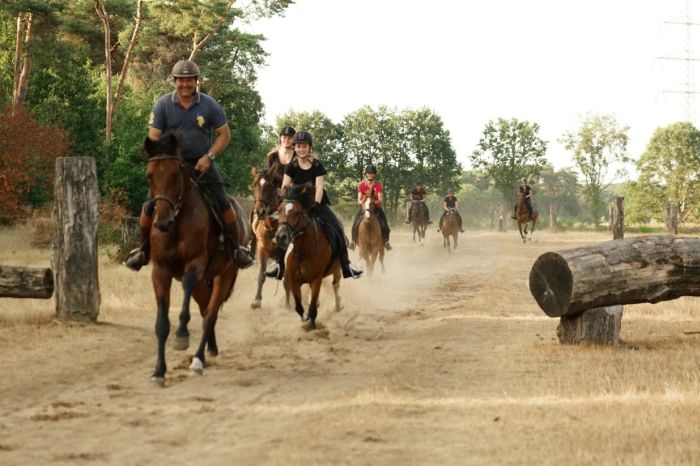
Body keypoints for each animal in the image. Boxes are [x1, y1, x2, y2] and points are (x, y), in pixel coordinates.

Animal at [144, 133, 250, 384]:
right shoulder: (160, 270)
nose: (162, 222)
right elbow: (161, 323)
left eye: (175, 173)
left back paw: (199, 359)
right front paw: (159, 371)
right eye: (149, 175)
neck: (177, 222)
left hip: (224, 274)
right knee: (205, 310)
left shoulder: (195, 266)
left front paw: (182, 335)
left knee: (210, 314)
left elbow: (186, 291)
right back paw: (211, 348)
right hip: (205, 282)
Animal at [249, 167, 290, 310]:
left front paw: (288, 303)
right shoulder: (262, 249)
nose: (260, 212)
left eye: (270, 185)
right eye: (254, 185)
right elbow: (261, 274)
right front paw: (256, 300)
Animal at [274, 183, 342, 332]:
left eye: (297, 212)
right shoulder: (294, 281)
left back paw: (338, 305)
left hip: (337, 269)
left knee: (335, 285)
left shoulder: (316, 279)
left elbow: (312, 309)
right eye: (279, 210)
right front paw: (304, 319)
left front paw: (311, 326)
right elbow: (299, 307)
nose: (281, 237)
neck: (302, 251)